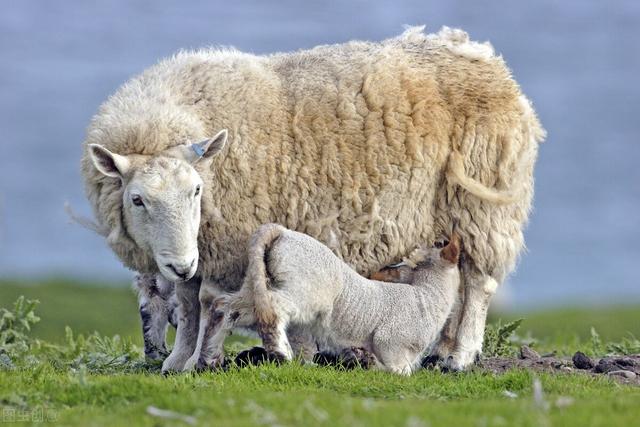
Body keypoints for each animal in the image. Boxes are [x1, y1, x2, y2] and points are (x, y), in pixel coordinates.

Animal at [194, 226, 460, 376]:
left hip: (255, 283)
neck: (427, 295)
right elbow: (400, 372)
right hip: (305, 291)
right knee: (275, 308)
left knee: (224, 308)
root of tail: (280, 231)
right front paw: (364, 361)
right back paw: (282, 353)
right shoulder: (390, 341)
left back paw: (209, 359)